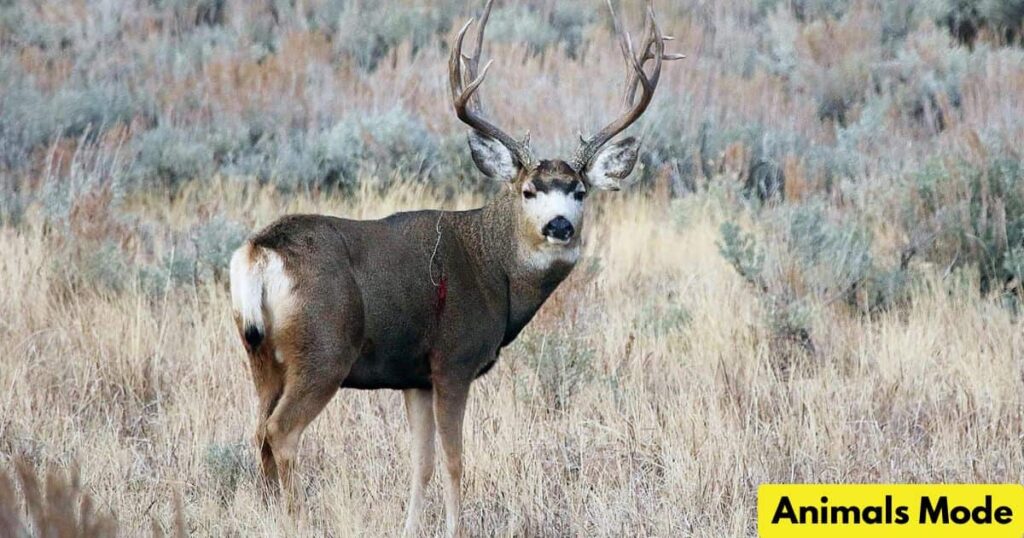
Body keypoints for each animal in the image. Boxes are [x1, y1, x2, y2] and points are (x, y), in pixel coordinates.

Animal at [228, 1, 678, 535]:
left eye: (580, 191)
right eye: (529, 191)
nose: (560, 226)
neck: (493, 271)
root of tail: (259, 251)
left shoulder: (414, 376)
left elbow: (420, 462)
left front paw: (409, 527)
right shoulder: (453, 360)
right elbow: (454, 460)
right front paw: (454, 527)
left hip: (260, 354)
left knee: (257, 432)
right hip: (324, 351)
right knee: (281, 432)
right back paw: (298, 520)